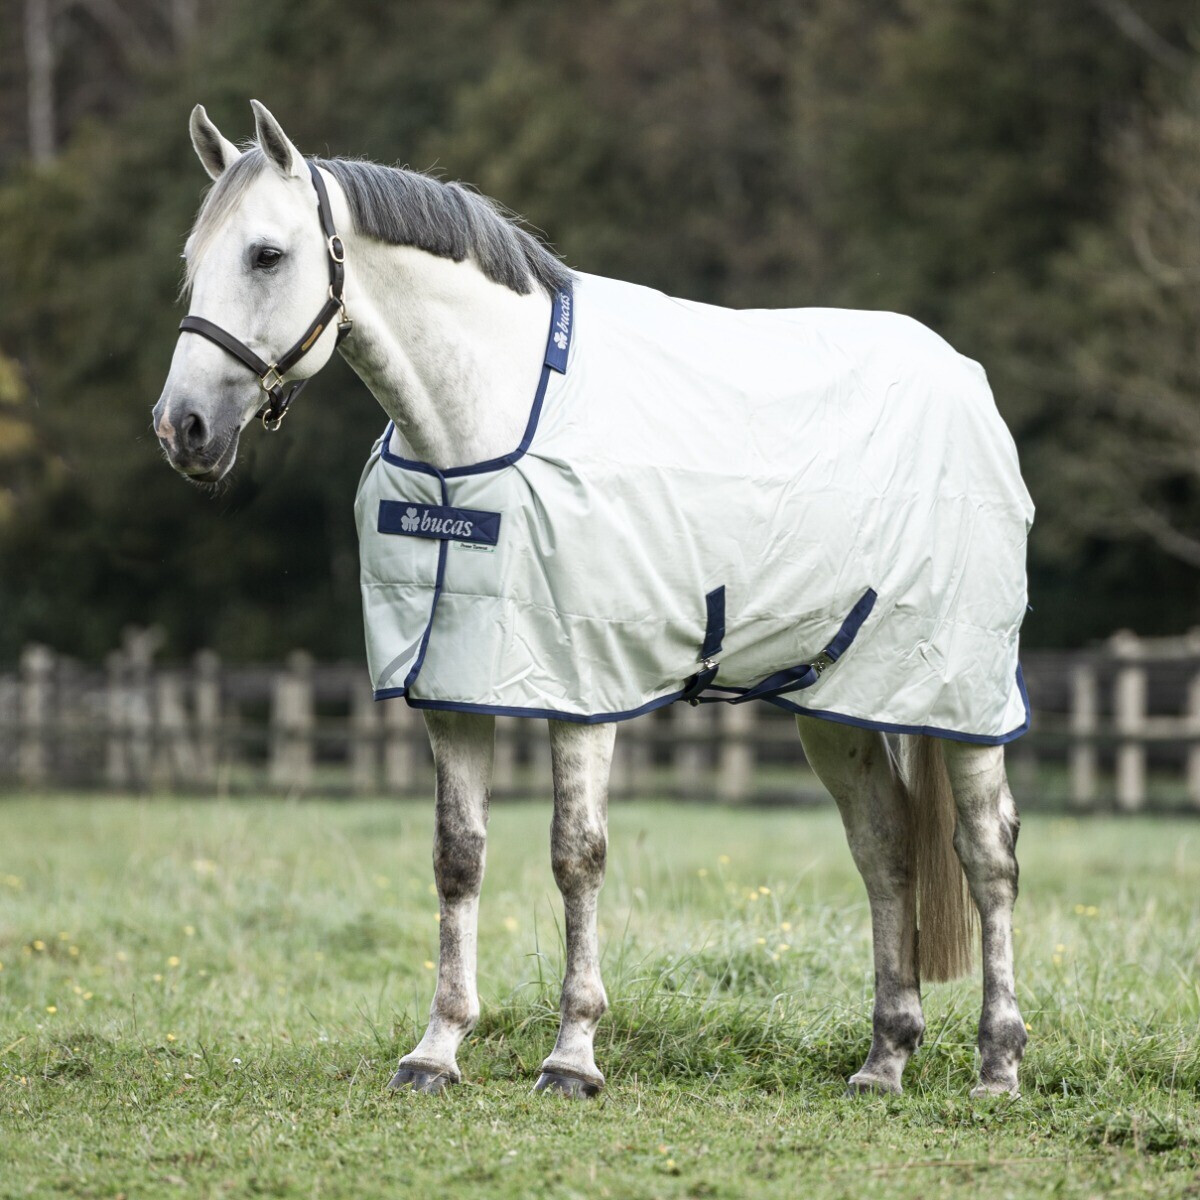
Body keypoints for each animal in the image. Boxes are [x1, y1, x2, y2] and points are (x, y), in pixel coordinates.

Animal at [153, 100, 1032, 1100]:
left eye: (266, 254)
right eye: (195, 258)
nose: (183, 429)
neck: (482, 426)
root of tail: (965, 379)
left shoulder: (581, 690)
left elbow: (577, 856)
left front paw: (572, 1055)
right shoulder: (452, 689)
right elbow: (458, 858)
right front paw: (437, 1049)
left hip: (960, 698)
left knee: (987, 855)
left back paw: (998, 1063)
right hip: (837, 703)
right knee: (885, 850)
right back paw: (884, 1058)